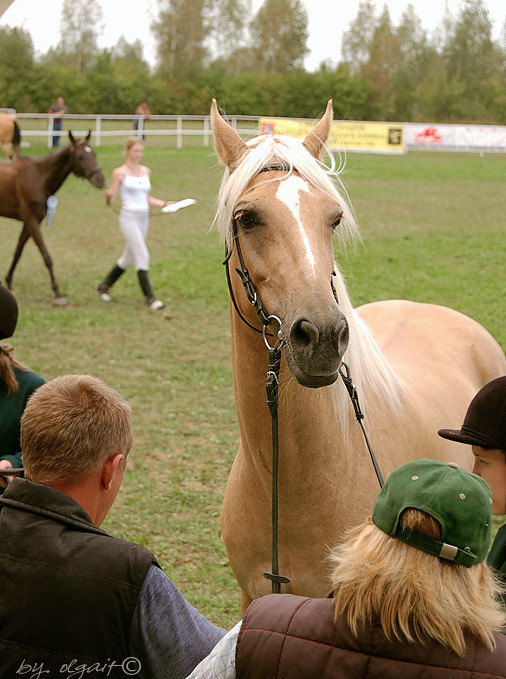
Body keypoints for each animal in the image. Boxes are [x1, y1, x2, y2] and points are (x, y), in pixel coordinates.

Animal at [0, 131, 105, 306]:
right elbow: (46, 256)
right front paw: (57, 293)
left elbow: (18, 252)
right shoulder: (31, 220)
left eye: (94, 154)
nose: (100, 179)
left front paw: (8, 283)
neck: (39, 177)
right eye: (80, 156)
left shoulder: (31, 222)